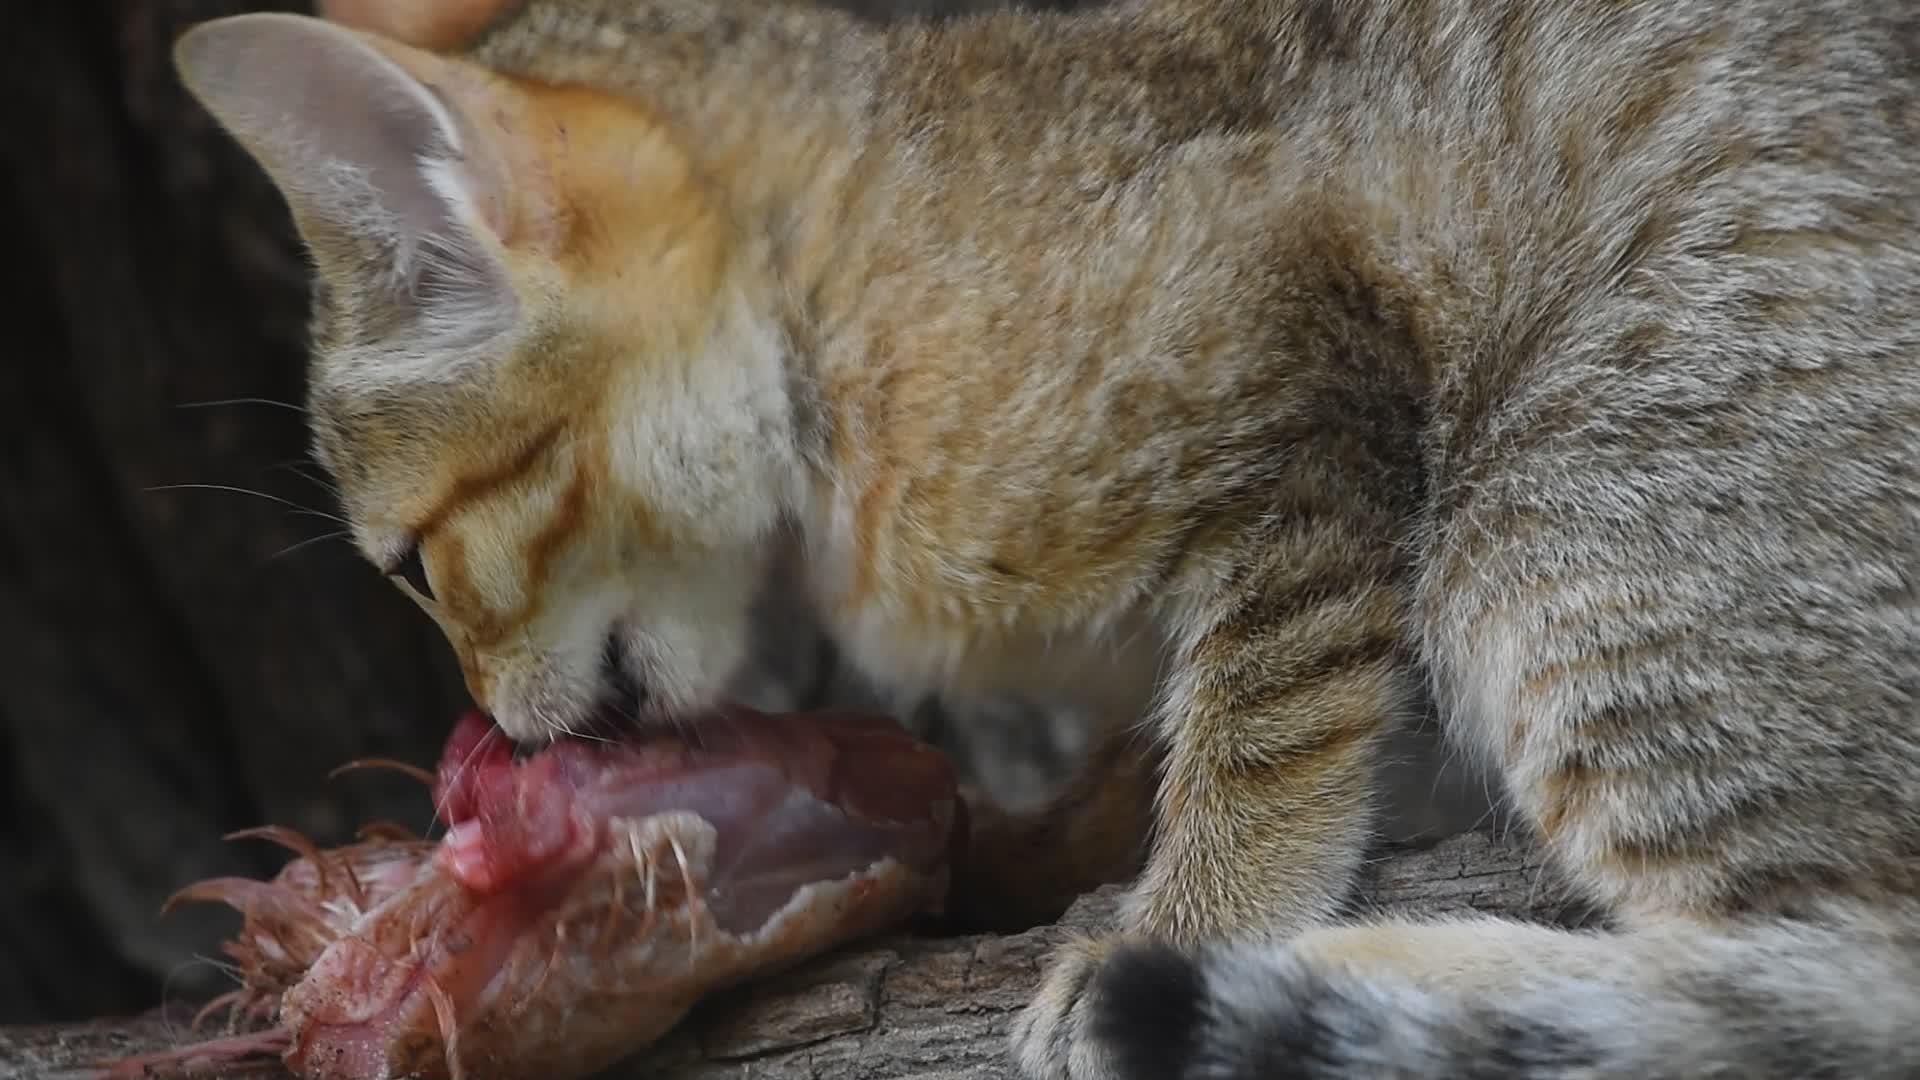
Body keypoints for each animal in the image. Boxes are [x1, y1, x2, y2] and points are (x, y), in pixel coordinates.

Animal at [172, 0, 1920, 1068]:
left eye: (410, 568)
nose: (482, 727)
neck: (833, 306)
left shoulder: (1305, 404)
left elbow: (1264, 736)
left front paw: (1190, 919)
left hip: (1558, 518)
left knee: (1847, 980)